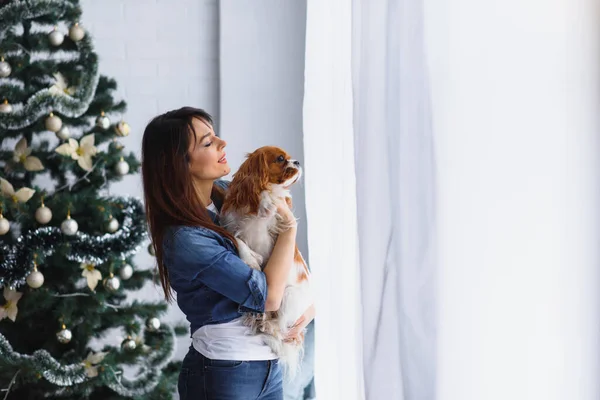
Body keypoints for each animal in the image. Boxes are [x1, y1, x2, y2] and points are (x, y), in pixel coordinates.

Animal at [221, 146, 314, 376]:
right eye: (281, 159)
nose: (297, 162)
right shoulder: (231, 226)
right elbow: (236, 239)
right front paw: (251, 259)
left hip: (288, 296)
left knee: (280, 328)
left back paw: (266, 325)